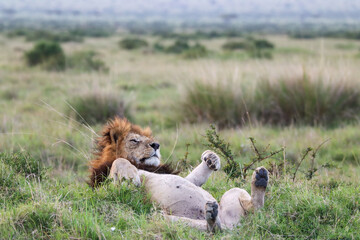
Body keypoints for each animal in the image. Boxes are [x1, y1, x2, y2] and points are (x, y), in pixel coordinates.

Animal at [88, 117, 268, 232]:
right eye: (134, 140)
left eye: (149, 139)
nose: (156, 144)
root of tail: (233, 226)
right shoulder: (107, 186)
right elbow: (118, 163)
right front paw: (130, 175)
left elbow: (192, 179)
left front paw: (211, 158)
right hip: (161, 217)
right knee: (214, 230)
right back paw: (211, 217)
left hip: (233, 196)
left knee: (253, 208)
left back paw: (260, 179)